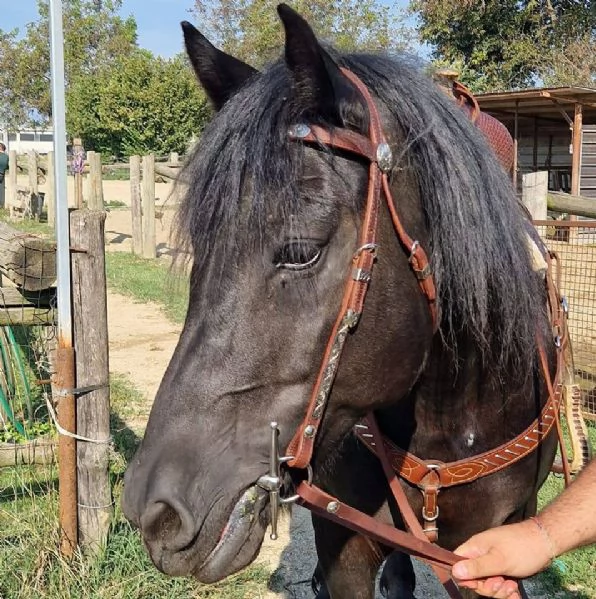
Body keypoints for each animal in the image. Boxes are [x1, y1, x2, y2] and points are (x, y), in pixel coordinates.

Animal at [121, 5, 560, 599]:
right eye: (201, 246)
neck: (449, 414)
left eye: (300, 251)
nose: (154, 510)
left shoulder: (493, 554)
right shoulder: (345, 547)